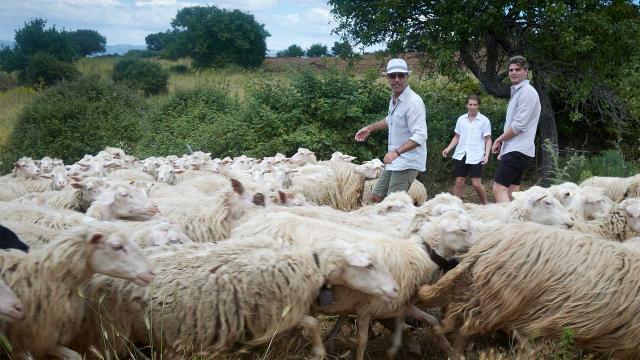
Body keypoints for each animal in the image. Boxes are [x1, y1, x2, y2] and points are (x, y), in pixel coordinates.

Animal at [0, 222, 155, 360]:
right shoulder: (30, 338)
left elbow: (74, 355)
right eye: (117, 246)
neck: (45, 277)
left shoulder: (41, 340)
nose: (151, 272)